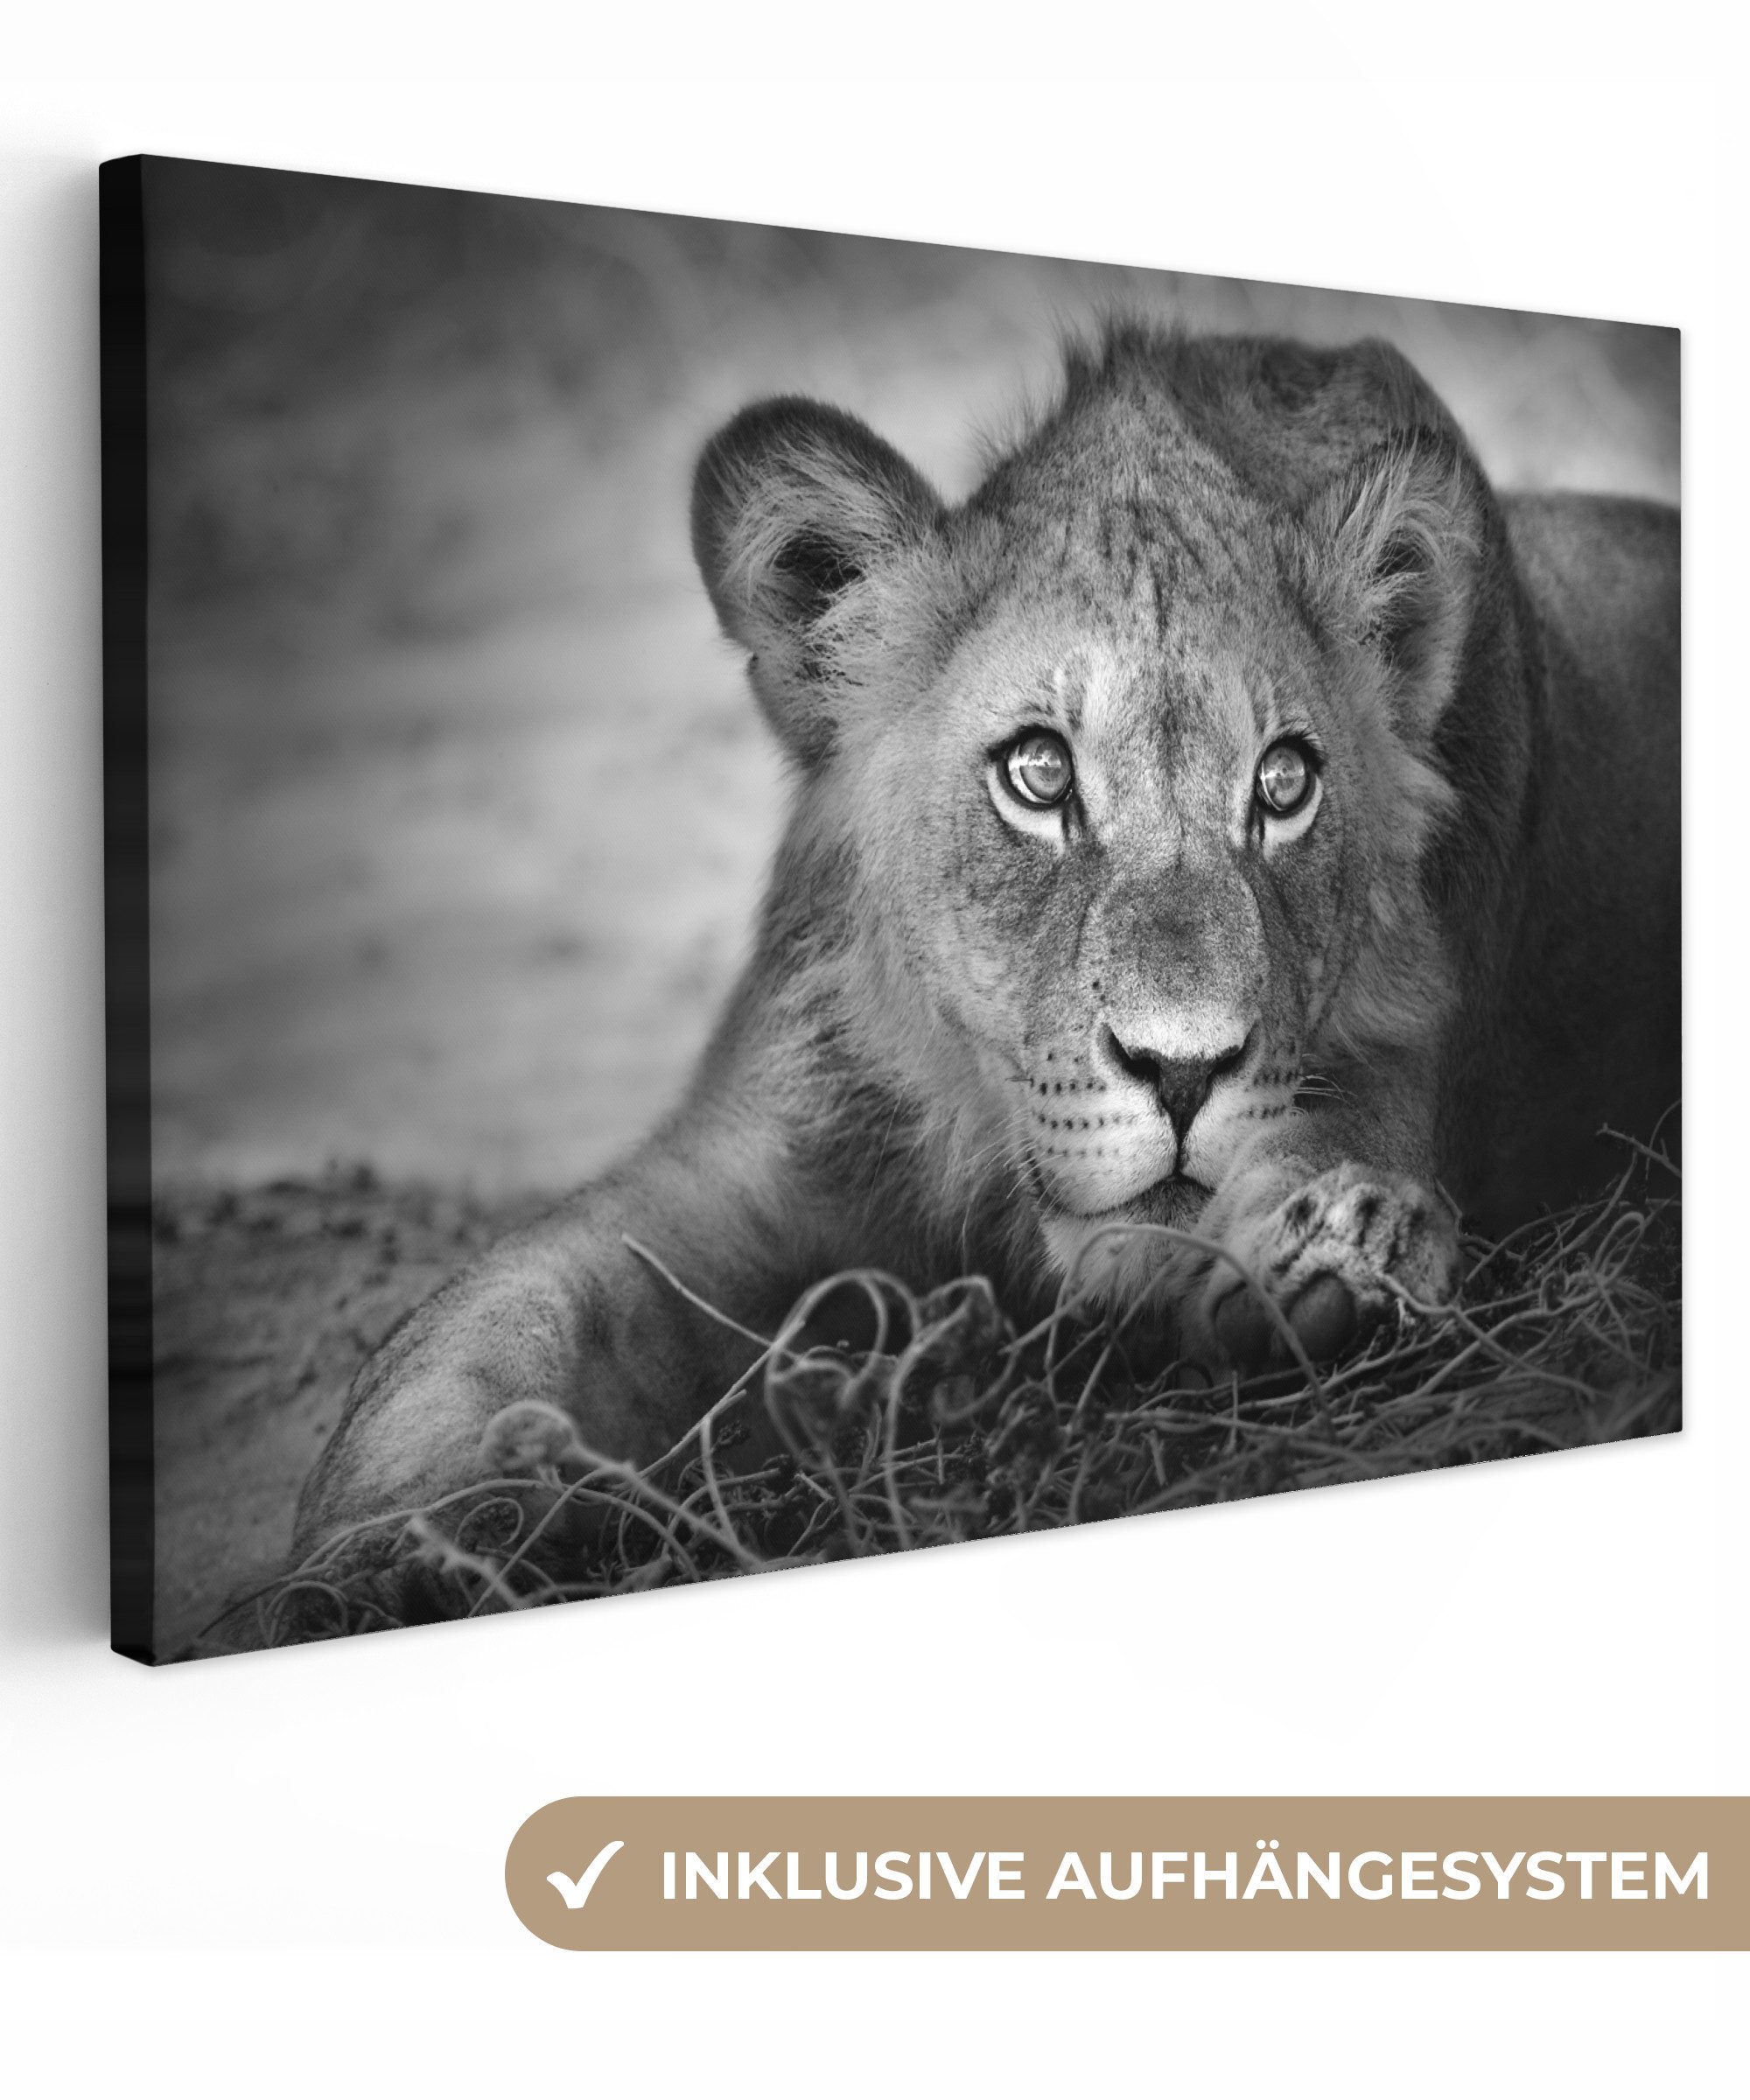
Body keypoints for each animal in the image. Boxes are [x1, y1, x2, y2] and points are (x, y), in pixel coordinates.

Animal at [291, 322, 1680, 1561]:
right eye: (1036, 772)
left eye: (1283, 785)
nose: (1184, 1072)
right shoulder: (747, 1156)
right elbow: (488, 1322)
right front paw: (386, 1552)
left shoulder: (1389, 1059)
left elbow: (1336, 1155)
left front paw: (1343, 1253)